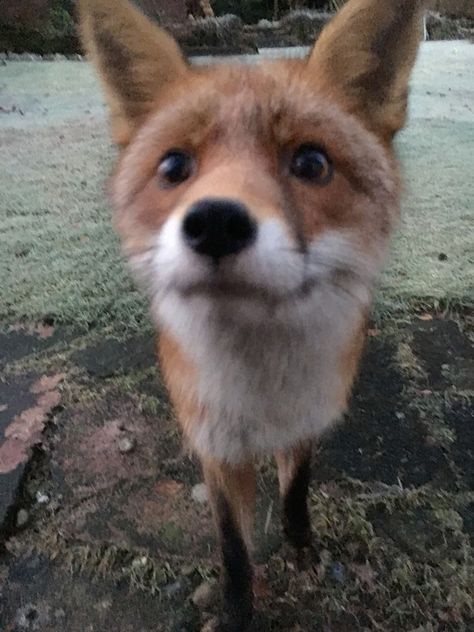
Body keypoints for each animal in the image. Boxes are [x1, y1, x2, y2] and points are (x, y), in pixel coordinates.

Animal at [78, 2, 426, 628]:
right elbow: (233, 550)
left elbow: (295, 493)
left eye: (311, 162)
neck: (262, 387)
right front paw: (238, 611)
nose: (215, 222)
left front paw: (301, 545)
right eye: (174, 166)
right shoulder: (216, 448)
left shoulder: (306, 423)